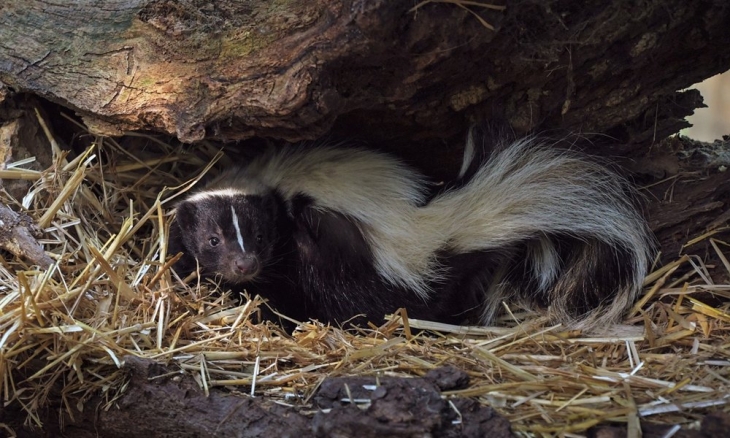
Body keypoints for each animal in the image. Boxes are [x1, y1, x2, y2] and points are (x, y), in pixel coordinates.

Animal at [171, 129, 656, 328]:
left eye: (259, 236)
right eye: (213, 240)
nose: (244, 264)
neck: (264, 181)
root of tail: (432, 226)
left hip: (343, 259)